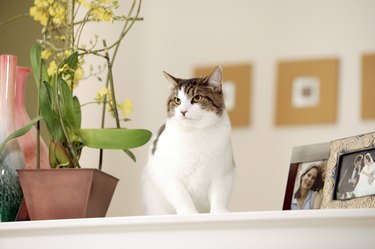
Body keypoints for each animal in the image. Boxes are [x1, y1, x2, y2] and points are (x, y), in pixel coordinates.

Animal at [143, 65, 235, 214]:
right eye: (177, 100)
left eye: (197, 98)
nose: (183, 111)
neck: (196, 133)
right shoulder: (169, 176)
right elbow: (182, 197)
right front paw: (189, 213)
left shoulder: (223, 173)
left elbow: (219, 195)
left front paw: (219, 212)